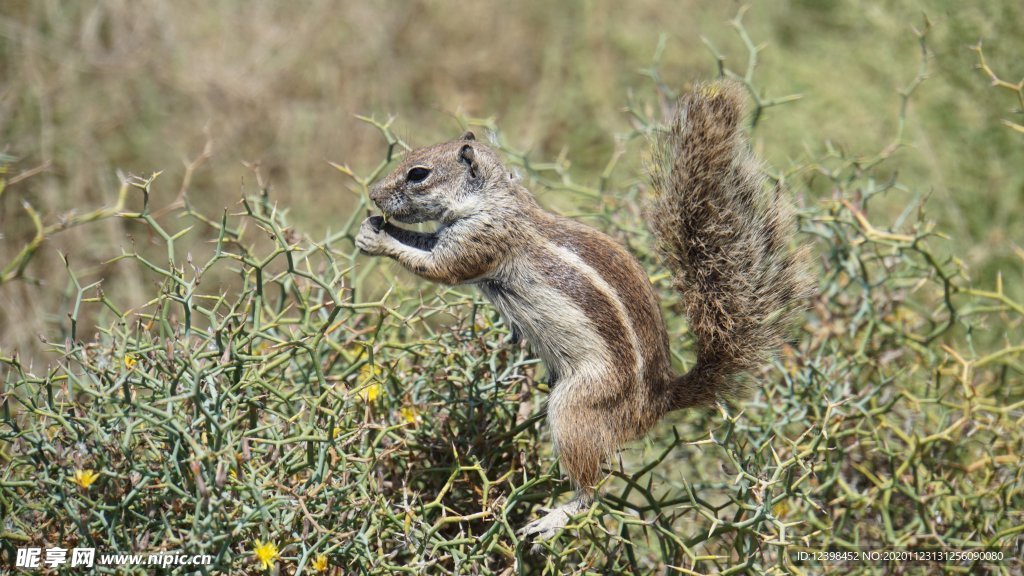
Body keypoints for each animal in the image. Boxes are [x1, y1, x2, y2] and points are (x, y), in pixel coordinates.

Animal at [356, 83, 811, 541]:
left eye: (419, 173)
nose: (373, 195)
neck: (496, 200)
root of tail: (657, 401)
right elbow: (423, 243)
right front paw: (375, 226)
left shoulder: (479, 243)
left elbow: (436, 266)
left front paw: (379, 240)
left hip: (577, 409)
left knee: (592, 491)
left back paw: (556, 517)